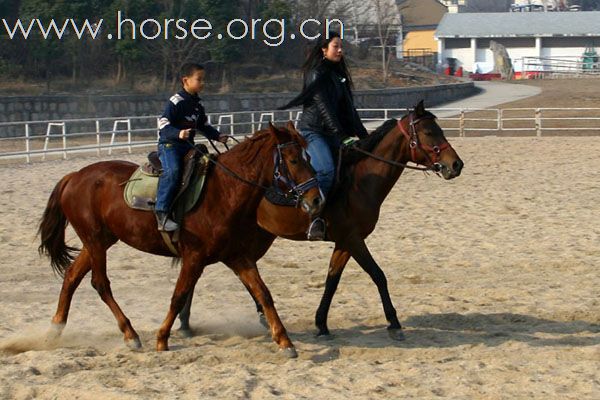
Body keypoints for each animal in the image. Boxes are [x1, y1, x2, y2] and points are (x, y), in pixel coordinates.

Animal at [37, 122, 324, 356]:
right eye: (293, 160)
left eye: (308, 156)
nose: (316, 199)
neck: (223, 192)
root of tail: (74, 176)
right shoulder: (194, 258)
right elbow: (179, 296)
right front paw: (162, 338)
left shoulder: (238, 257)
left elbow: (263, 294)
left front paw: (285, 340)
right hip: (96, 241)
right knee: (100, 284)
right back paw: (130, 334)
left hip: (99, 241)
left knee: (72, 276)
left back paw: (54, 329)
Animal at [178, 100, 464, 340]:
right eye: (429, 132)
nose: (456, 165)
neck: (360, 179)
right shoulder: (354, 239)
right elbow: (378, 275)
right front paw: (393, 323)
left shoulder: (344, 242)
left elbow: (332, 281)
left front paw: (321, 323)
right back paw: (187, 321)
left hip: (257, 237)